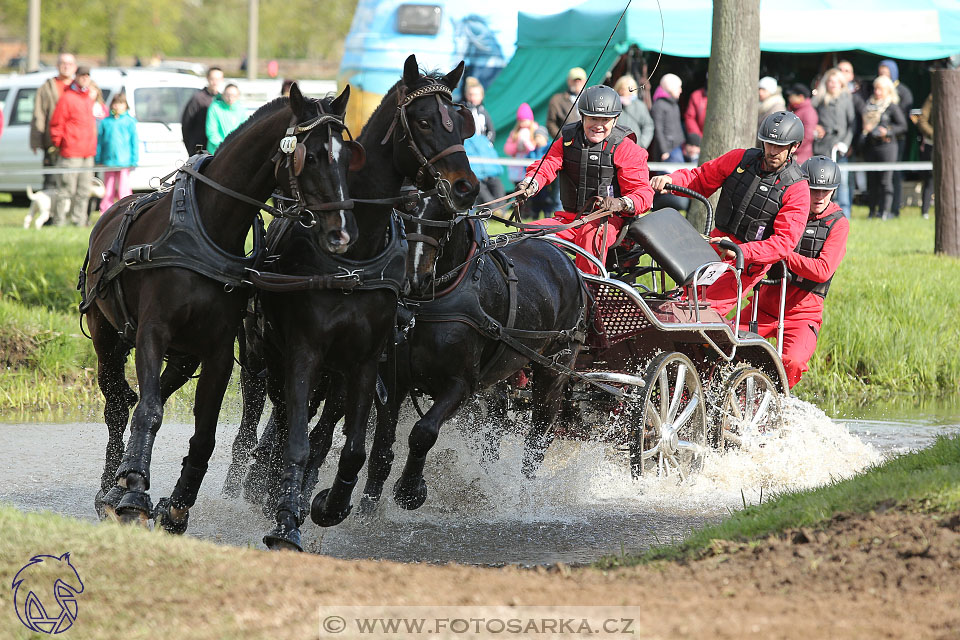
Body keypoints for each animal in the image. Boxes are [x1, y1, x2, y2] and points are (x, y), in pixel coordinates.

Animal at [79, 86, 360, 536]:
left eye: (348, 154)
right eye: (312, 156)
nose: (342, 232)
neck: (208, 226)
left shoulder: (215, 351)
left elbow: (204, 432)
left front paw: (177, 507)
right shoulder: (151, 333)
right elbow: (149, 411)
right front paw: (135, 491)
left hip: (184, 354)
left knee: (150, 391)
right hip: (106, 334)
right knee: (119, 404)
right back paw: (110, 487)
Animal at [255, 55, 480, 552]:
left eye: (462, 122)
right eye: (423, 120)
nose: (466, 187)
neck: (354, 255)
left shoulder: (366, 358)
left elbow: (355, 449)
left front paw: (328, 504)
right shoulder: (305, 351)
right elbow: (297, 437)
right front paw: (286, 516)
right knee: (278, 420)